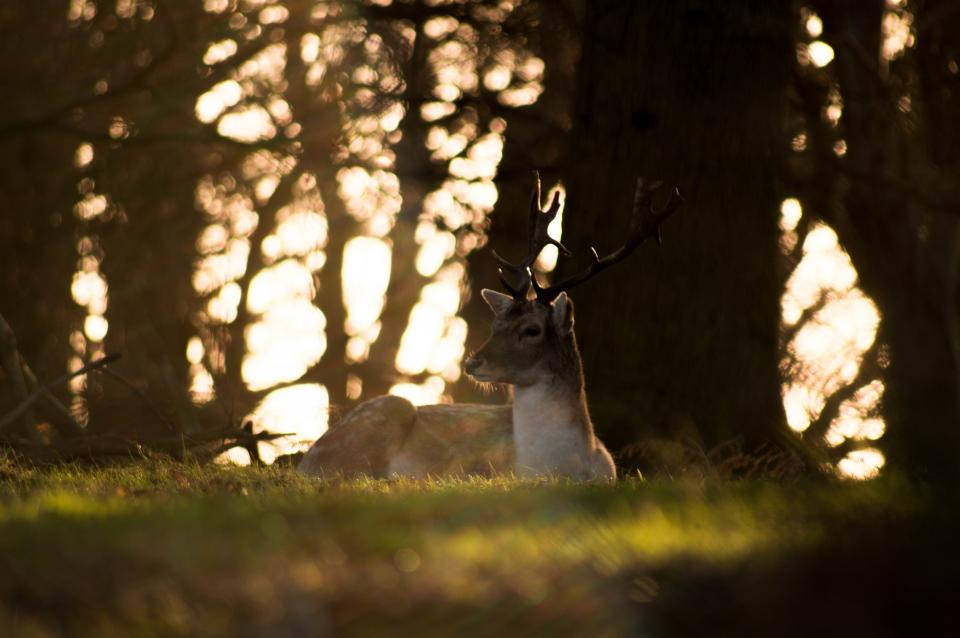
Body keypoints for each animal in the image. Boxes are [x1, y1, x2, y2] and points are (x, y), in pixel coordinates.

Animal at [297, 174, 681, 481]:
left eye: (531, 330)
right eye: (496, 323)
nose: (472, 361)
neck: (559, 468)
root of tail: (305, 461)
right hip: (384, 413)